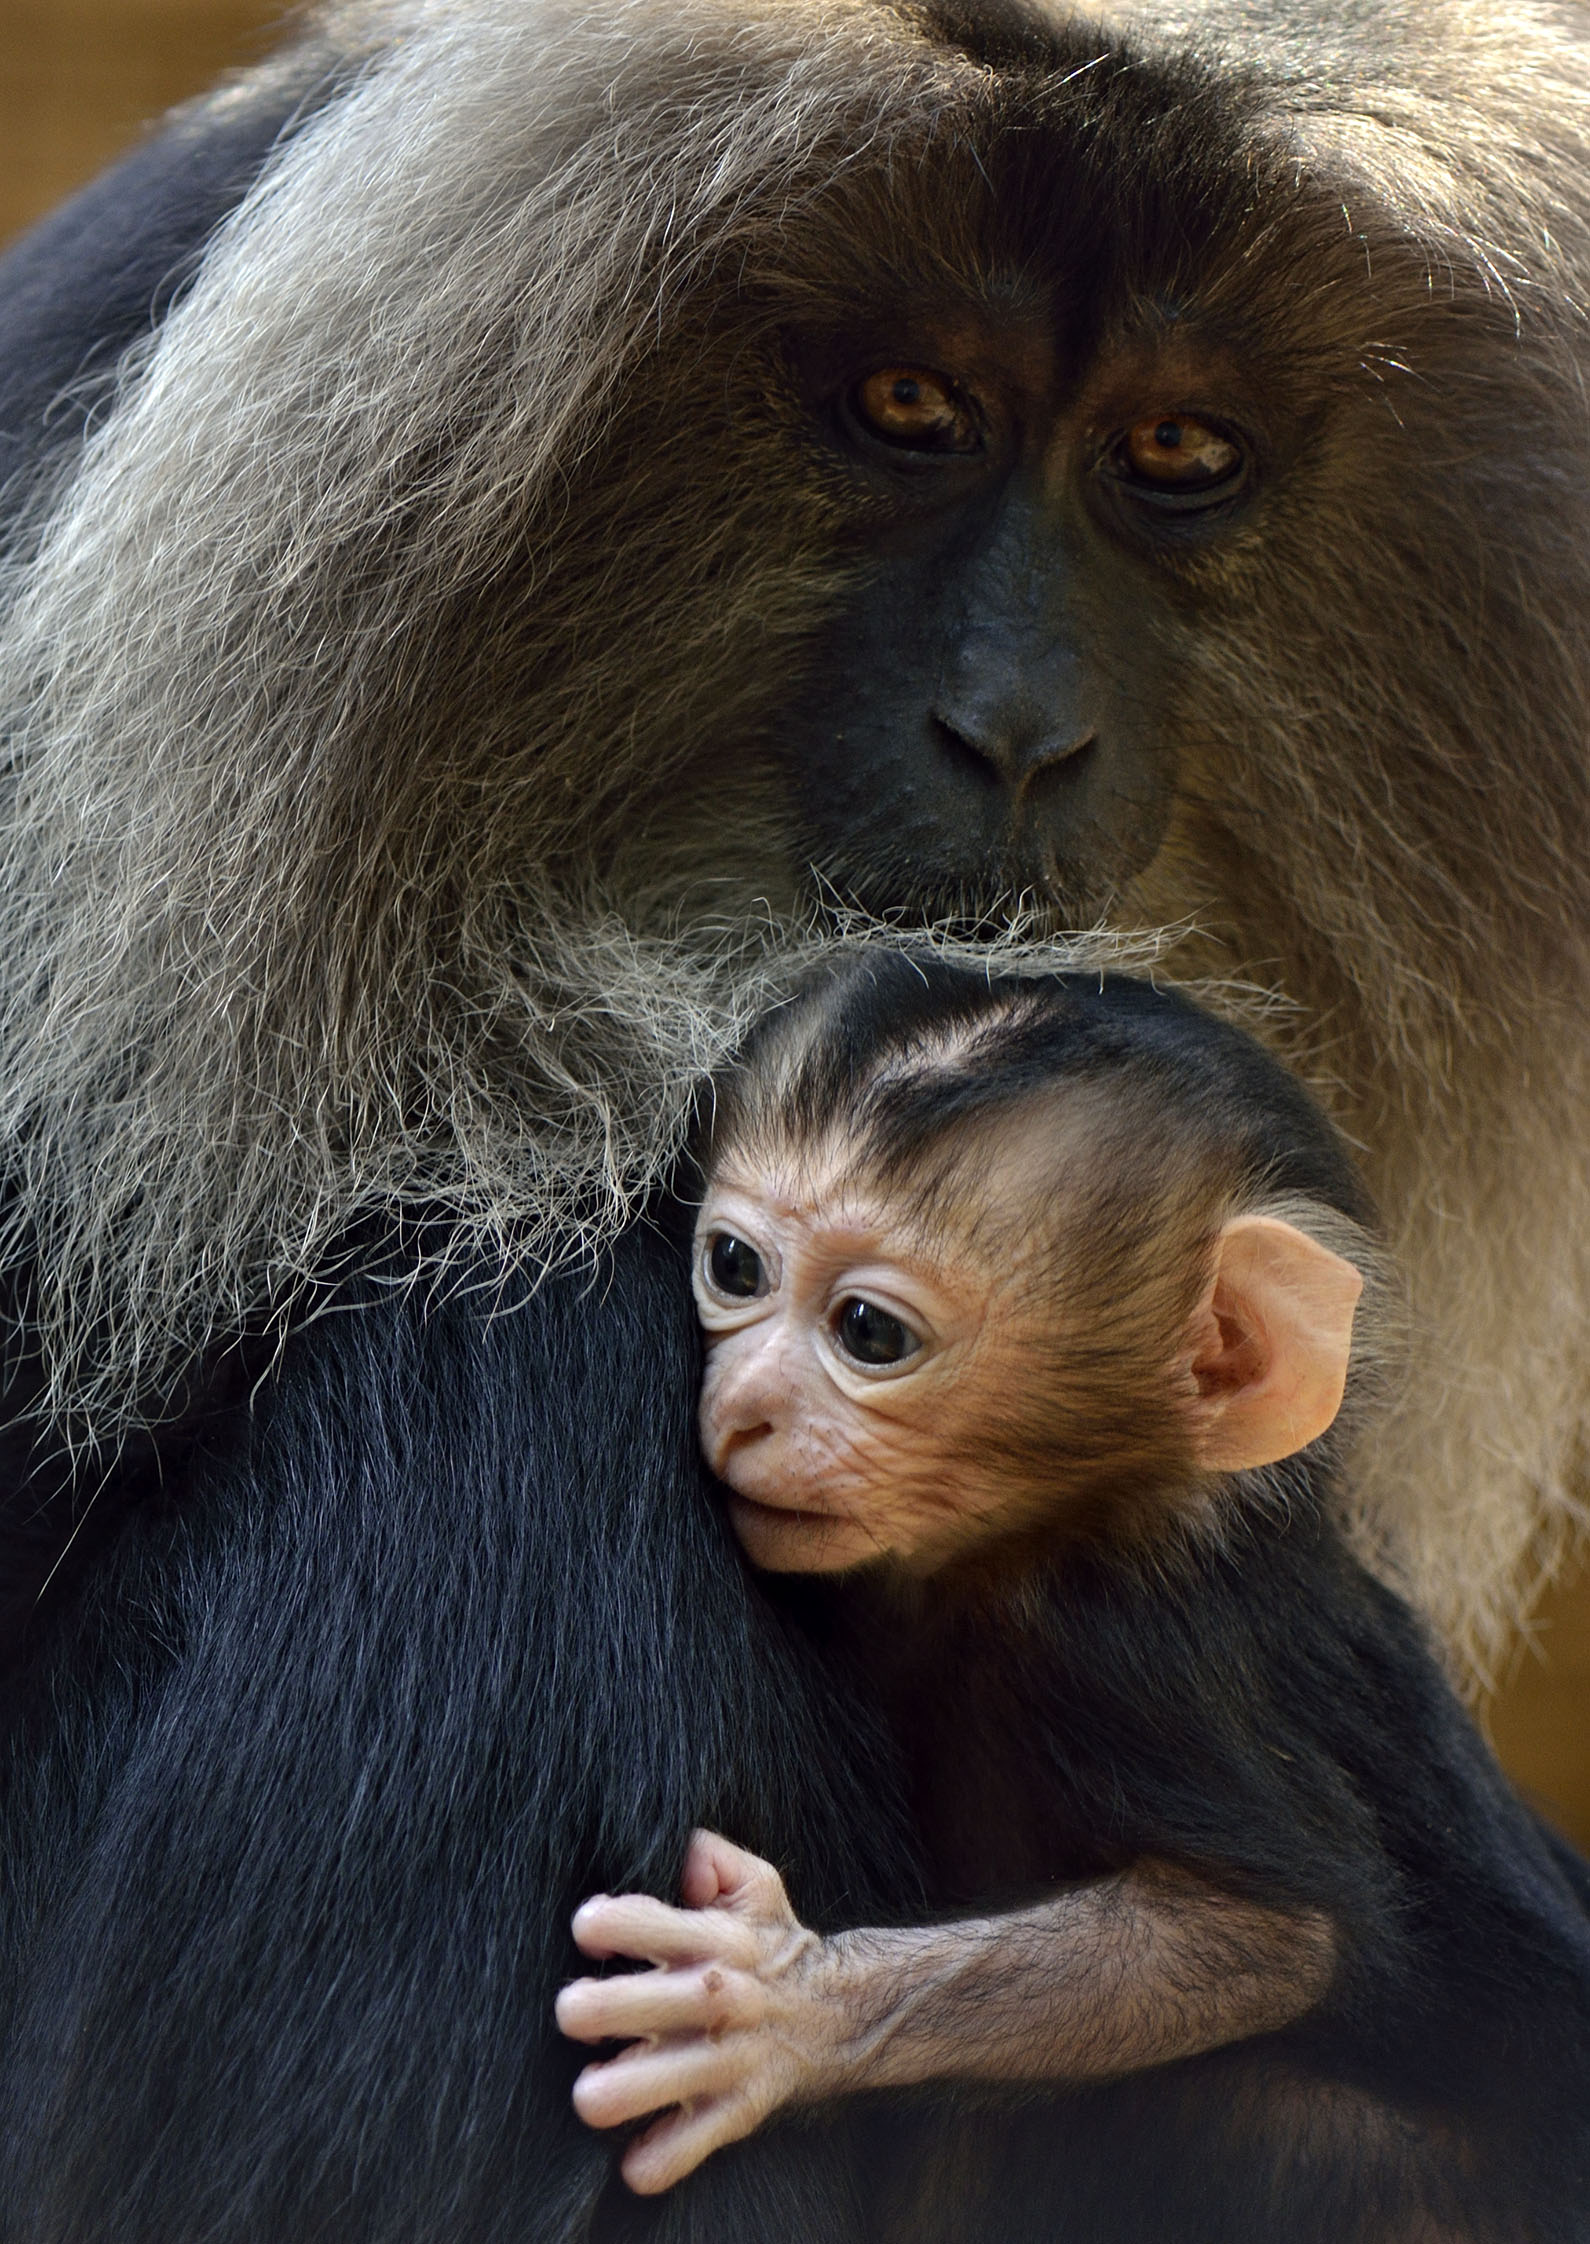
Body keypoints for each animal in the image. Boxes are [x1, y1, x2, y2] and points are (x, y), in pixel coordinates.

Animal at [558, 955, 1587, 2235]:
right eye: (735, 1268)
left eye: (868, 1332)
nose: (741, 1410)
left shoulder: (1124, 1648)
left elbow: (1258, 1937)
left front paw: (787, 2015)